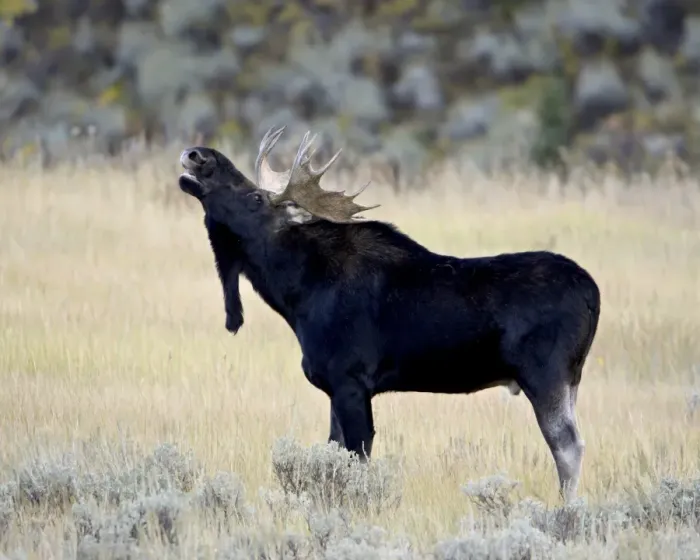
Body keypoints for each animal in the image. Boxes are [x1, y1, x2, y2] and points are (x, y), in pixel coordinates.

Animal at [177, 126, 601, 503]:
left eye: (256, 197)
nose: (199, 154)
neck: (296, 293)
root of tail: (593, 293)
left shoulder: (351, 381)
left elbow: (357, 457)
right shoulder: (336, 387)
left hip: (545, 374)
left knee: (569, 446)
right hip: (570, 380)